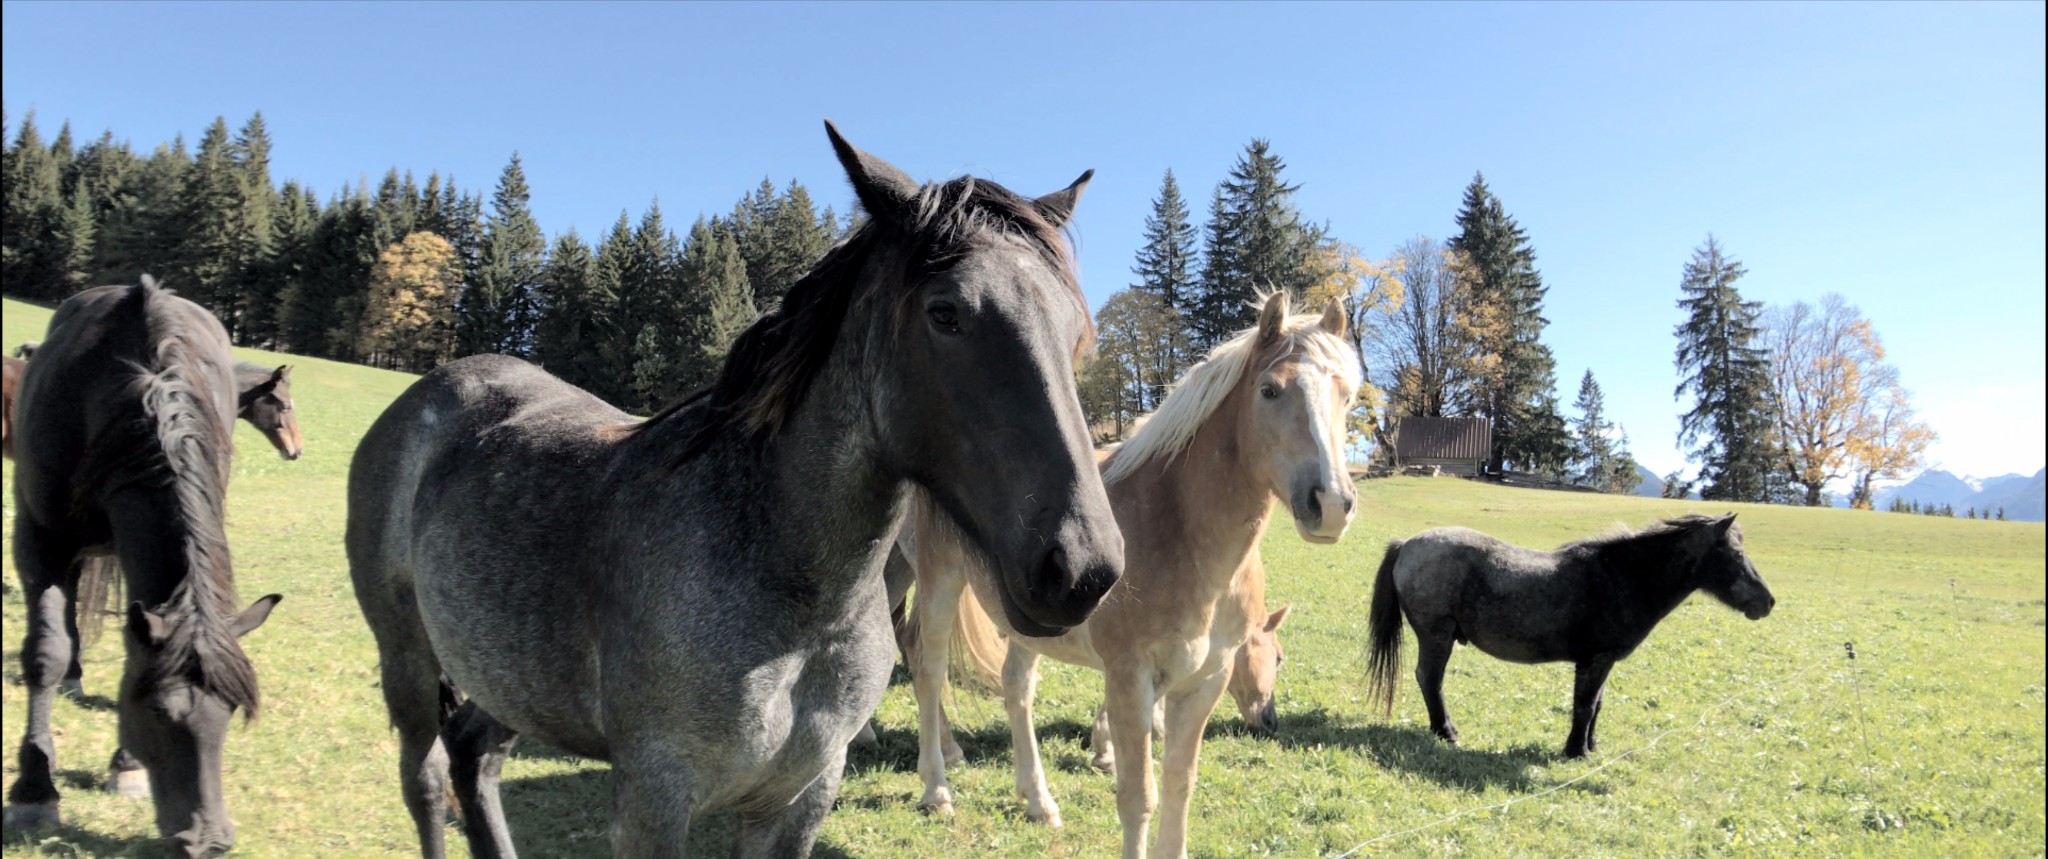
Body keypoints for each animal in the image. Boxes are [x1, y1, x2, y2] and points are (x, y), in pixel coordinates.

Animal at [6, 278, 284, 856]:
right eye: (157, 711)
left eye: (229, 712)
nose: (209, 840)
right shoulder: (40, 541)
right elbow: (45, 653)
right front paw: (34, 790)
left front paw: (127, 765)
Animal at [348, 120, 1122, 859]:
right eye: (946, 312)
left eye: (1074, 332)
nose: (1082, 566)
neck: (786, 582)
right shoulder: (653, 802)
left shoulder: (796, 797)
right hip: (408, 658)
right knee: (426, 778)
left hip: (507, 675)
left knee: (474, 755)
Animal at [909, 295, 1359, 859]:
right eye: (1270, 390)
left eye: (1348, 396)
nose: (1332, 504)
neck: (1181, 533)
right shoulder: (1129, 678)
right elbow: (1138, 795)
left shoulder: (1204, 681)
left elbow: (1179, 783)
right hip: (939, 582)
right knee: (928, 672)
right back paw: (937, 789)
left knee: (1017, 689)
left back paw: (1038, 801)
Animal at [1368, 514, 1785, 758]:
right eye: (1734, 553)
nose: (1767, 601)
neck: (1622, 578)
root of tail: (1407, 544)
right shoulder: (1594, 661)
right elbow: (1584, 705)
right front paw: (1576, 751)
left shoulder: (1602, 662)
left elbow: (1596, 704)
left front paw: (1590, 746)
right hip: (1435, 636)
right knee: (1430, 680)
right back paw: (1447, 732)